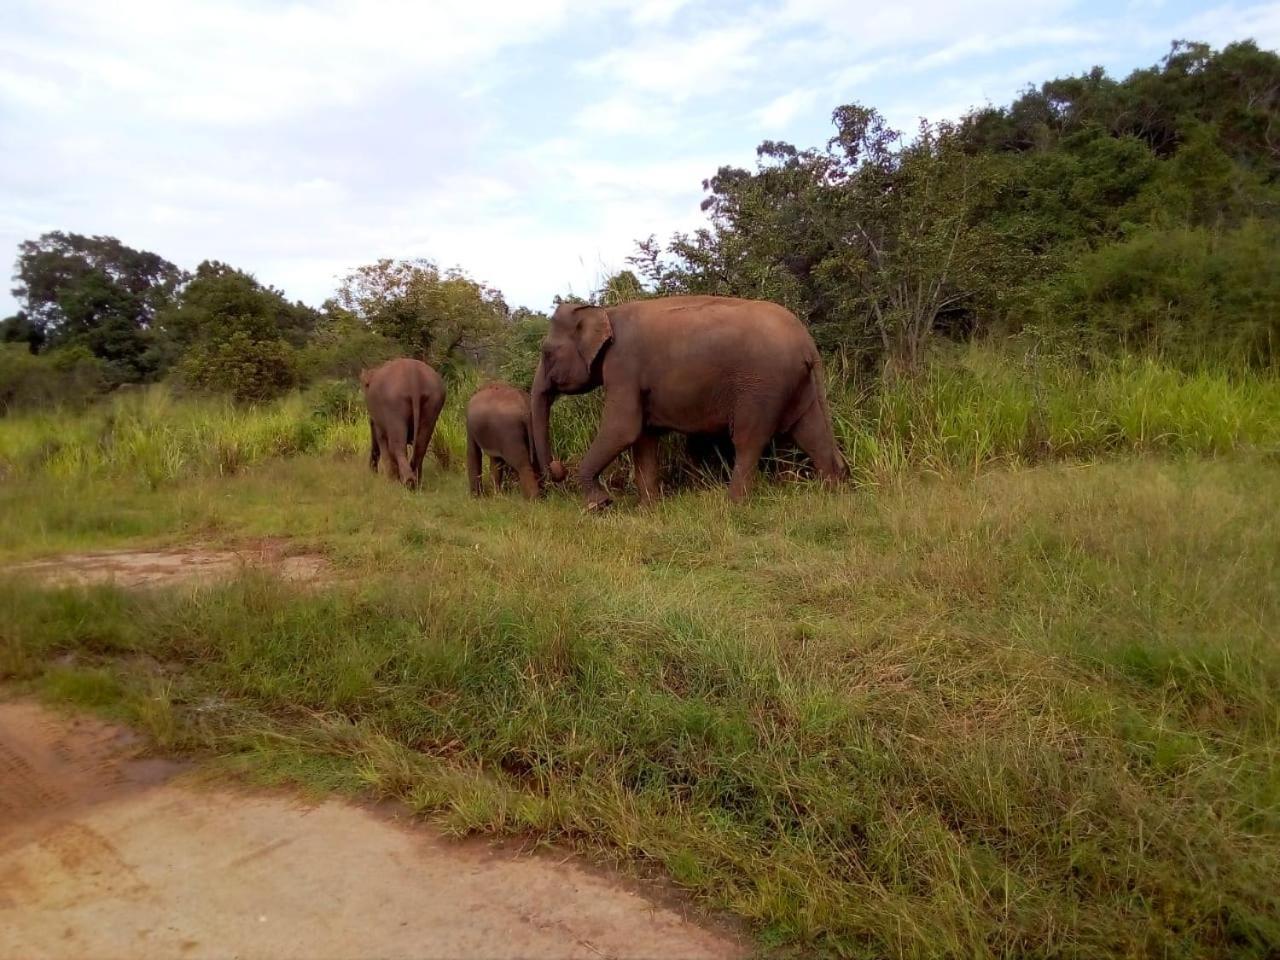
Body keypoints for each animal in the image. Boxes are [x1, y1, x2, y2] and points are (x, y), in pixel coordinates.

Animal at [360, 358, 445, 488]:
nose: (372, 472)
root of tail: (415, 379)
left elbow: (381, 439)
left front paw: (390, 480)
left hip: (394, 403)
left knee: (397, 445)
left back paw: (407, 482)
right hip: (433, 402)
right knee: (421, 444)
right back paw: (416, 481)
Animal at [532, 296, 849, 512]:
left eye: (546, 353)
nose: (558, 468)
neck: (605, 311)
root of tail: (806, 341)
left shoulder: (623, 368)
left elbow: (622, 429)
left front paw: (598, 505)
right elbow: (643, 437)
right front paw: (648, 509)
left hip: (762, 386)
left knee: (748, 440)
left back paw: (732, 504)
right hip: (799, 385)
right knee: (811, 433)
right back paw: (833, 495)